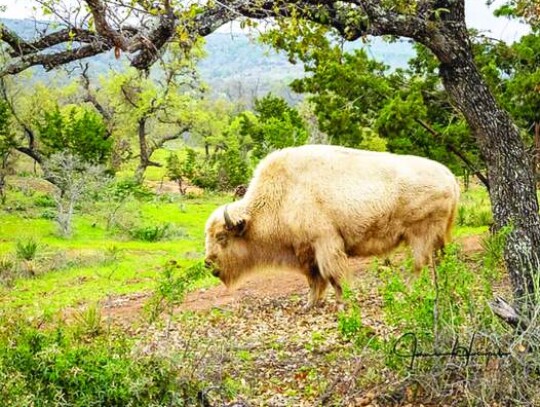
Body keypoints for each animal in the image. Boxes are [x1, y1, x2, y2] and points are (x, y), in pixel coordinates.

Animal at [205, 145, 458, 308]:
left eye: (221, 237)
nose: (208, 263)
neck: (281, 195)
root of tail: (450, 177)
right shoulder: (306, 252)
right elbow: (314, 280)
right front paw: (310, 304)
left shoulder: (325, 243)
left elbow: (332, 275)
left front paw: (341, 302)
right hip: (434, 236)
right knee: (437, 260)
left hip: (420, 235)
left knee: (419, 264)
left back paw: (408, 289)